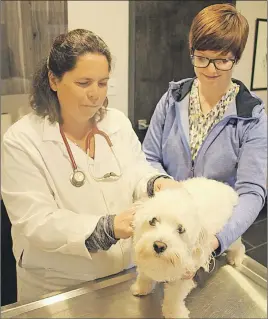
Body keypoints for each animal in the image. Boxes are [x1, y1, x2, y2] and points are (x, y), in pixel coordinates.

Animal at [131, 179, 246, 318]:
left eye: (181, 229)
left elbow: (175, 296)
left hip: (231, 238)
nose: (159, 245)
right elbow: (144, 275)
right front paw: (141, 287)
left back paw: (236, 257)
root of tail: (226, 186)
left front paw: (174, 313)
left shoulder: (185, 273)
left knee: (240, 245)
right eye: (153, 220)